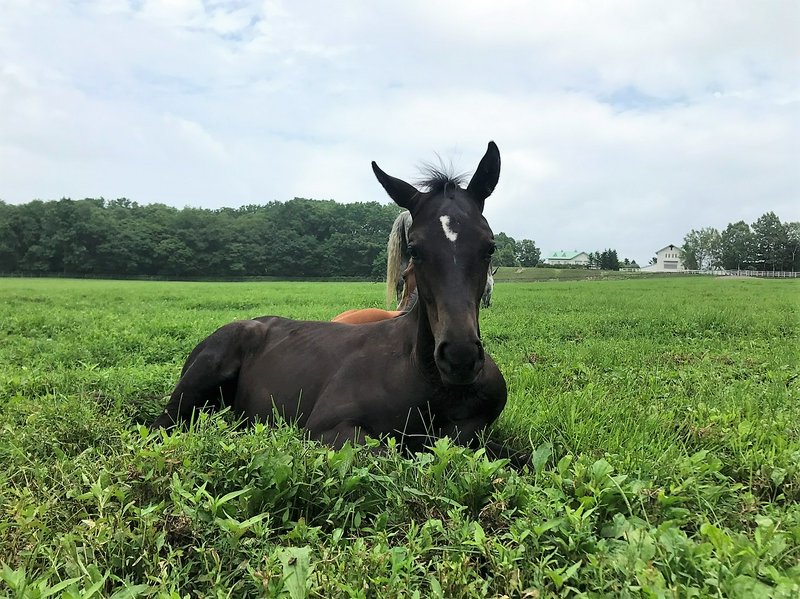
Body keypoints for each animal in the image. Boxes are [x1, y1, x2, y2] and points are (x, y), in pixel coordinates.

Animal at [152, 142, 525, 467]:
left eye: (489, 246)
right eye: (415, 249)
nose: (460, 358)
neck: (430, 381)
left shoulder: (473, 434)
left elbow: (514, 458)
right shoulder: (325, 429)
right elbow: (390, 454)